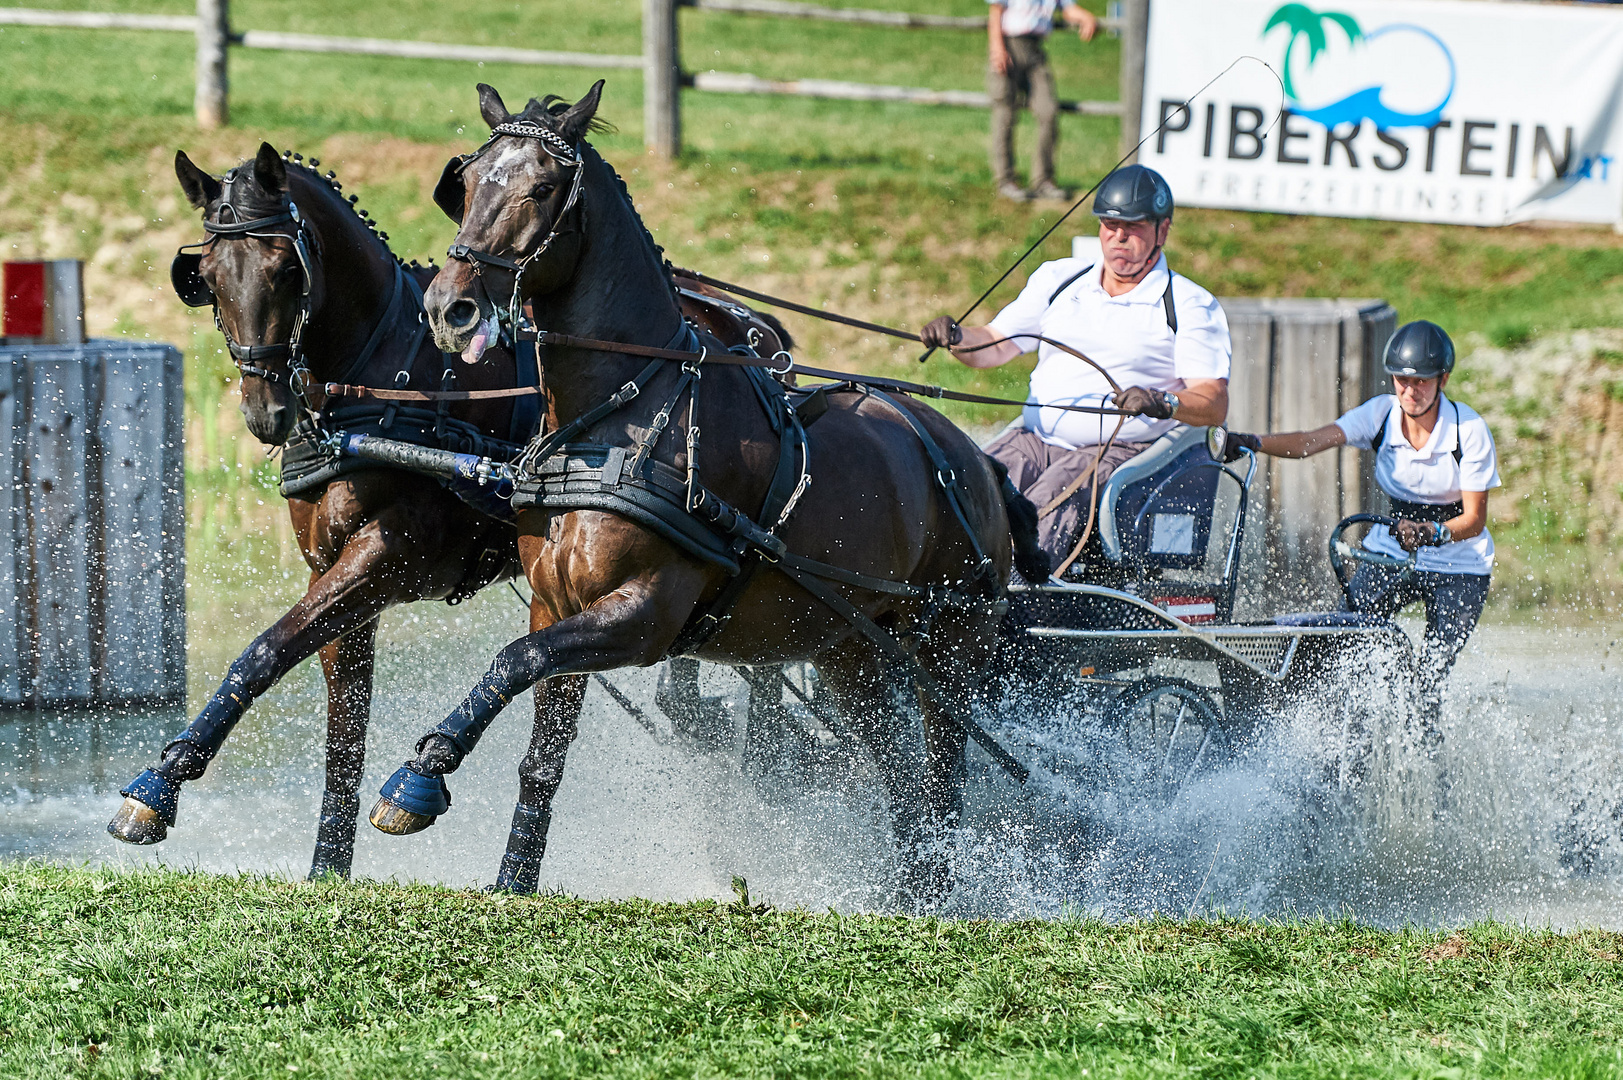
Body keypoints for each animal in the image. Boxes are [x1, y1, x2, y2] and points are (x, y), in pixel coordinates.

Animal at [370, 82, 1025, 902]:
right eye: (466, 185)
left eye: (543, 189)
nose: (447, 309)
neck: (620, 417)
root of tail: (973, 459)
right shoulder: (558, 604)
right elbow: (539, 754)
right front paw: (512, 882)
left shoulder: (643, 617)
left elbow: (512, 662)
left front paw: (418, 777)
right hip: (850, 651)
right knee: (900, 776)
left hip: (947, 648)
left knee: (940, 780)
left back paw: (926, 896)